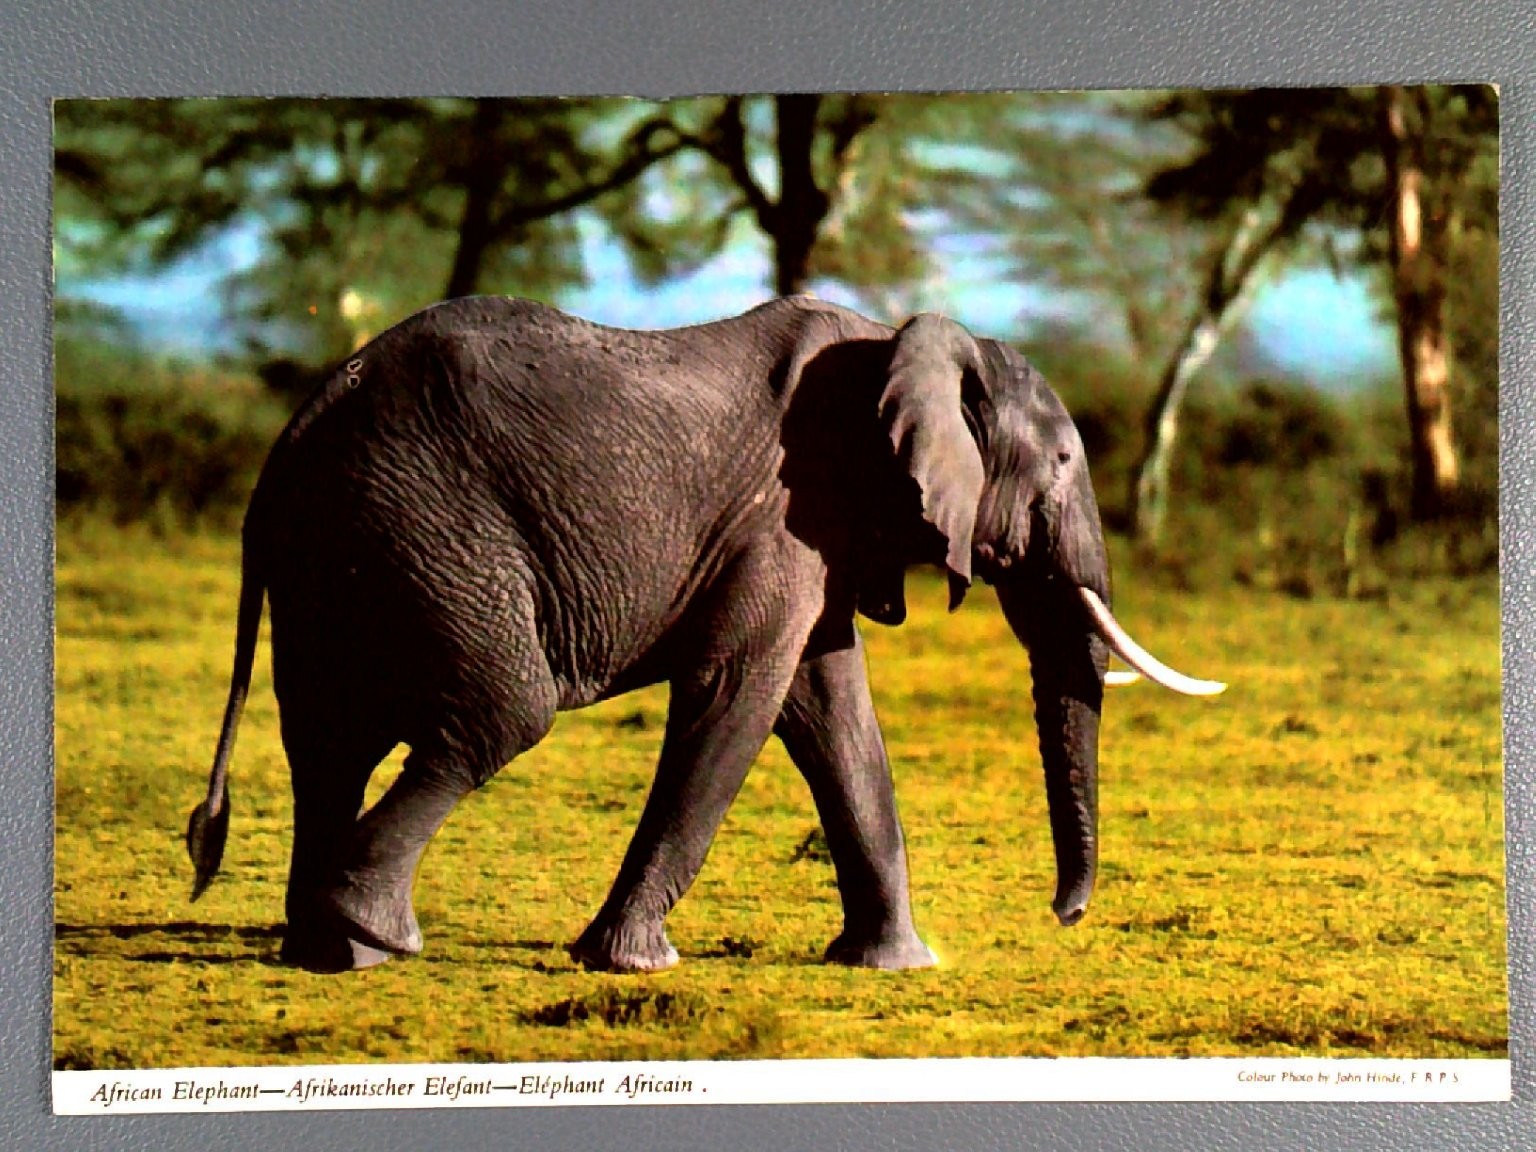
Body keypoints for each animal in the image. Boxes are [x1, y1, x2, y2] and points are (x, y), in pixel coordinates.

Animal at [186, 294, 1223, 974]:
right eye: (1063, 462)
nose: (1064, 916)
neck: (903, 340)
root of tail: (298, 425)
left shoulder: (816, 532)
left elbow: (833, 712)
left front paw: (896, 965)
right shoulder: (784, 514)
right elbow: (738, 693)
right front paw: (633, 964)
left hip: (349, 540)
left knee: (329, 739)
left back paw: (328, 953)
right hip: (429, 526)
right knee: (500, 713)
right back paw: (378, 933)